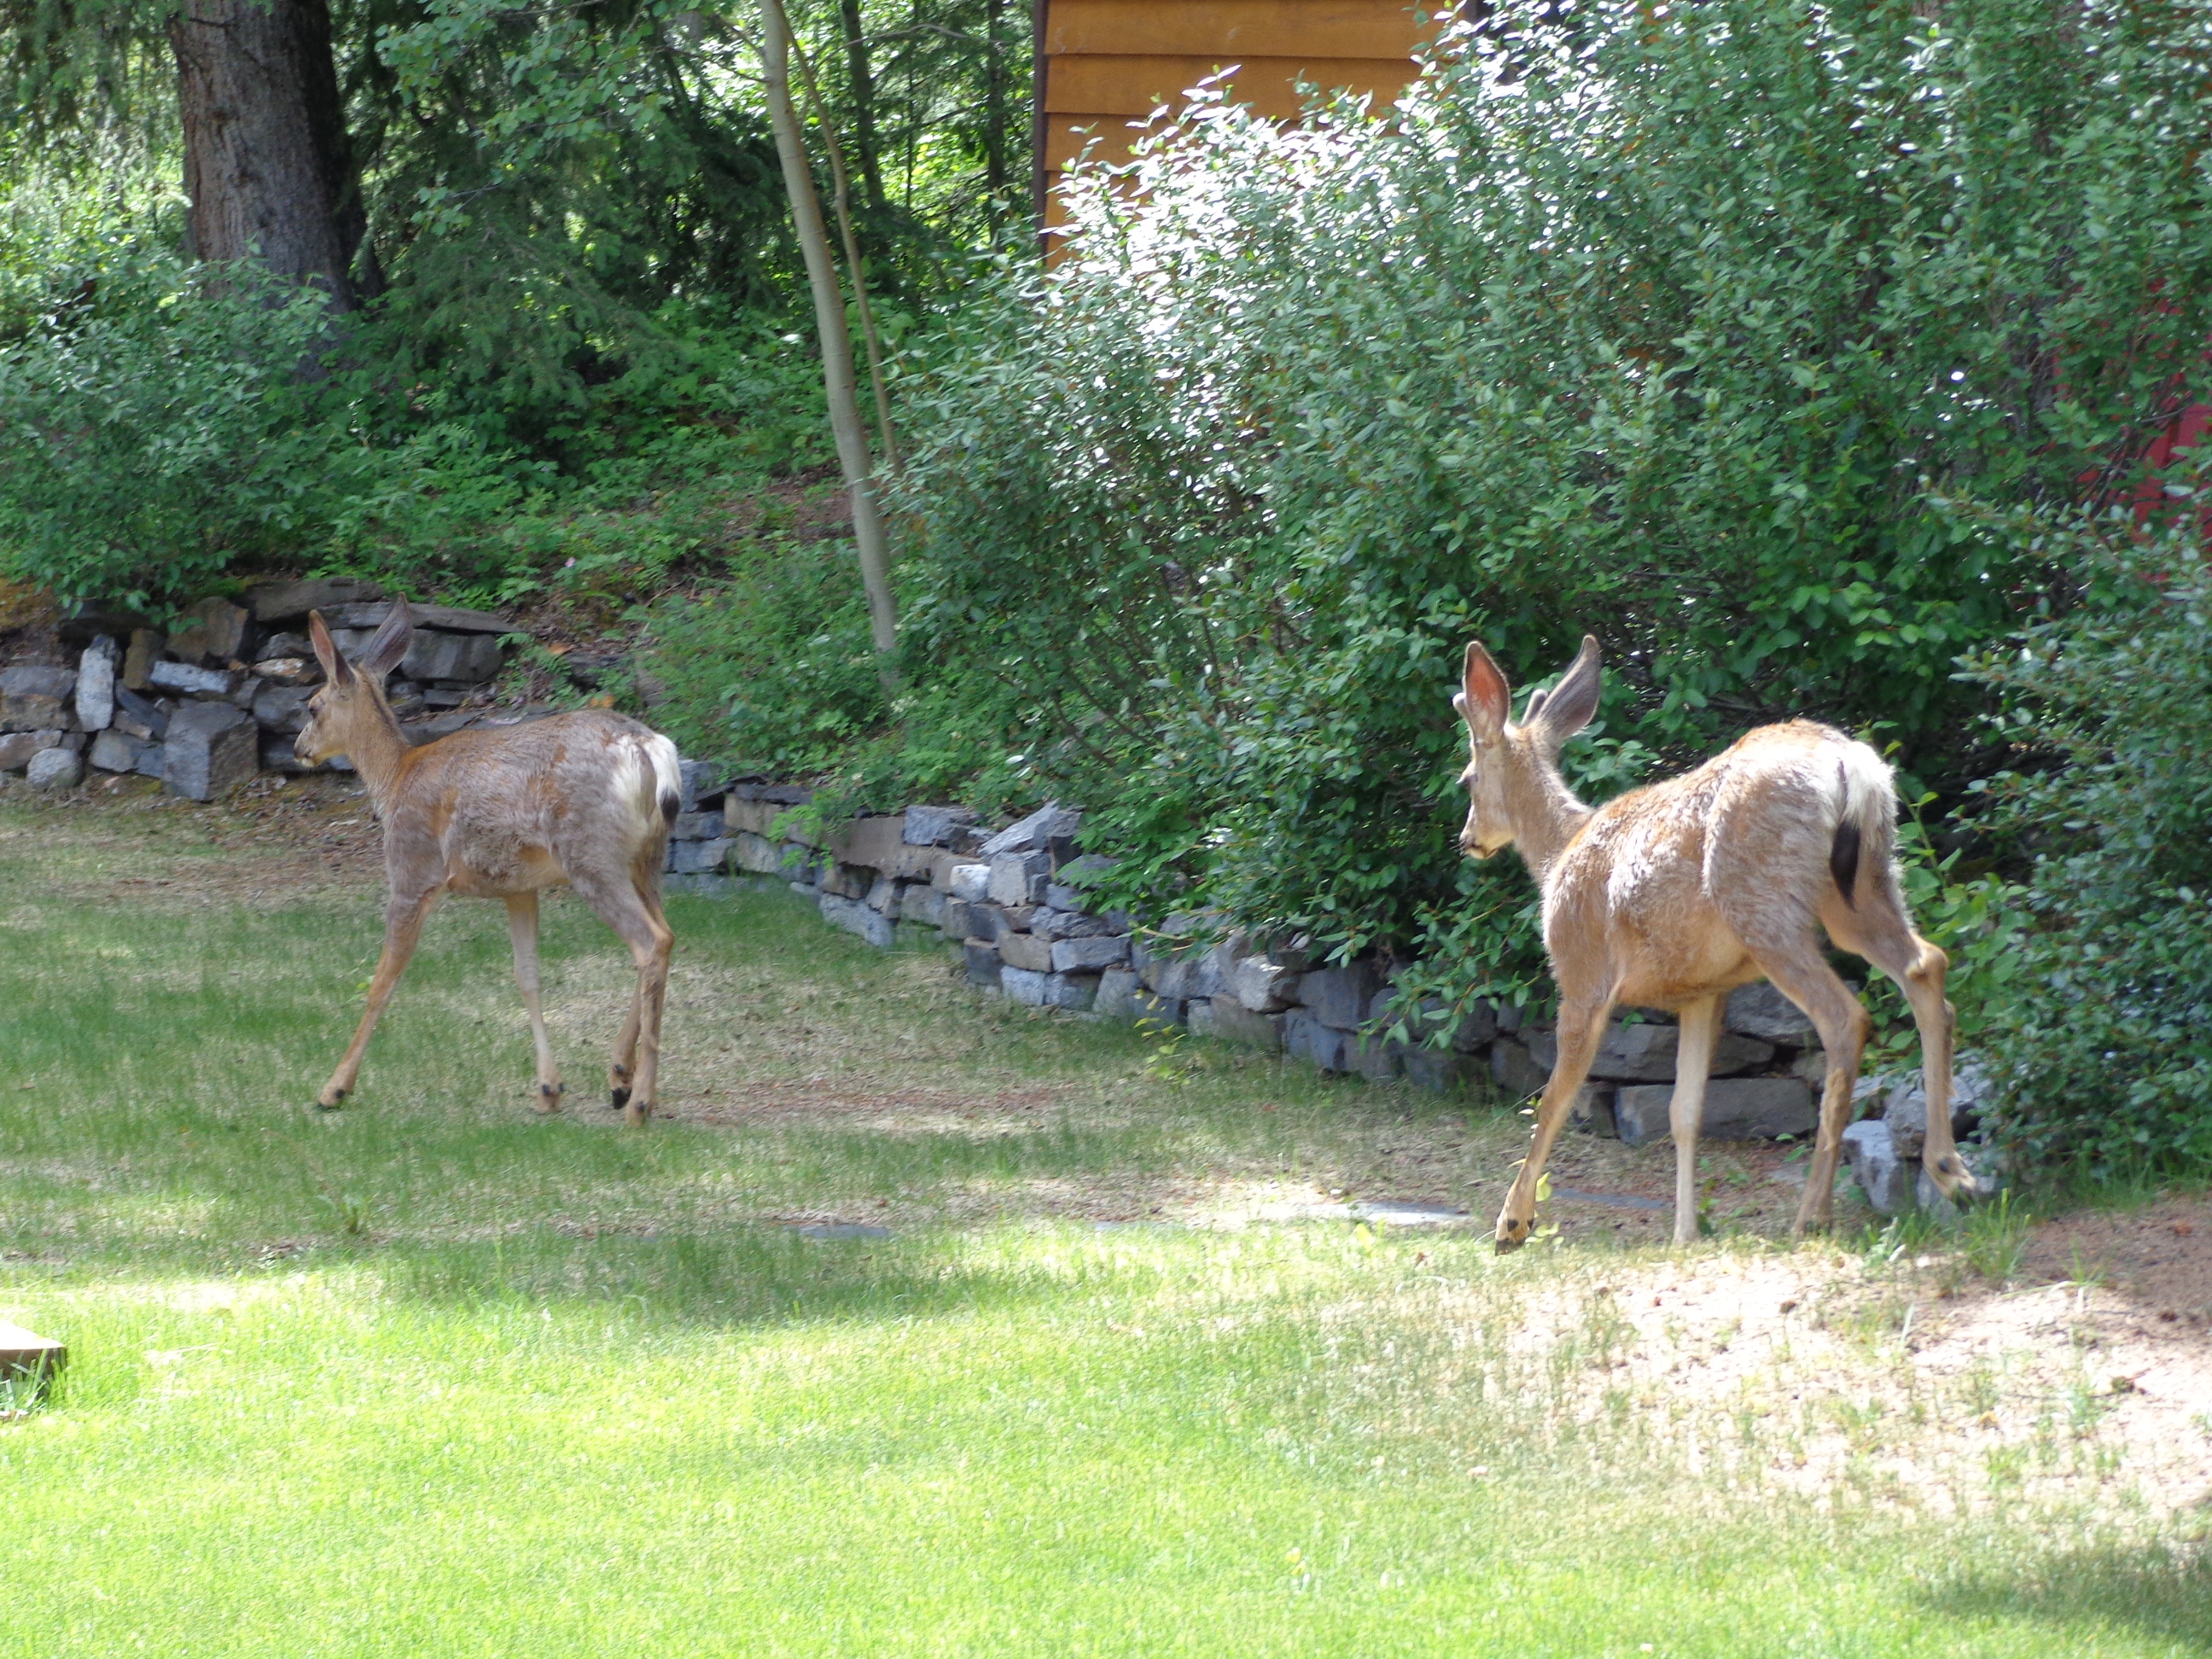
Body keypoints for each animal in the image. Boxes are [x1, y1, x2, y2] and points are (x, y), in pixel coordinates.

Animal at [296, 601, 682, 1126]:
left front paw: (334, 1088)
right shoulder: (519, 887)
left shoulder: (412, 871)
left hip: (589, 853)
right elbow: (528, 976)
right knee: (665, 935)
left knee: (650, 941)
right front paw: (548, 1088)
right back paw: (620, 1076)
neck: (394, 779)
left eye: (312, 706)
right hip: (647, 856)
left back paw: (639, 1101)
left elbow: (381, 982)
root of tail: (647, 748)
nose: (300, 749)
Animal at [1452, 634, 1981, 1250]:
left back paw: (1813, 1215)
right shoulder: (1702, 990)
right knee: (1927, 964)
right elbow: (1685, 1111)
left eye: (1467, 780)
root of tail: (1852, 765)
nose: (1468, 839)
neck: (1559, 850)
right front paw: (1685, 1233)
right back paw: (1952, 1173)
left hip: (1763, 906)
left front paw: (1512, 1222)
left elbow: (1554, 1097)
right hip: (1864, 888)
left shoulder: (1583, 976)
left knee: (1846, 1018)